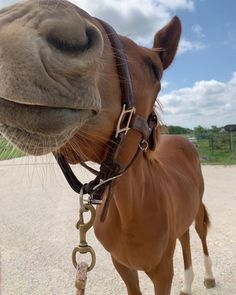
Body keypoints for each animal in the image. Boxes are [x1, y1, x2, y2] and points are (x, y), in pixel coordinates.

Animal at [0, 1, 216, 294]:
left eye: (155, 68)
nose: (23, 23)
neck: (131, 211)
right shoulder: (122, 266)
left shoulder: (163, 272)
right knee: (184, 237)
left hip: (196, 209)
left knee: (200, 232)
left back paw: (207, 276)